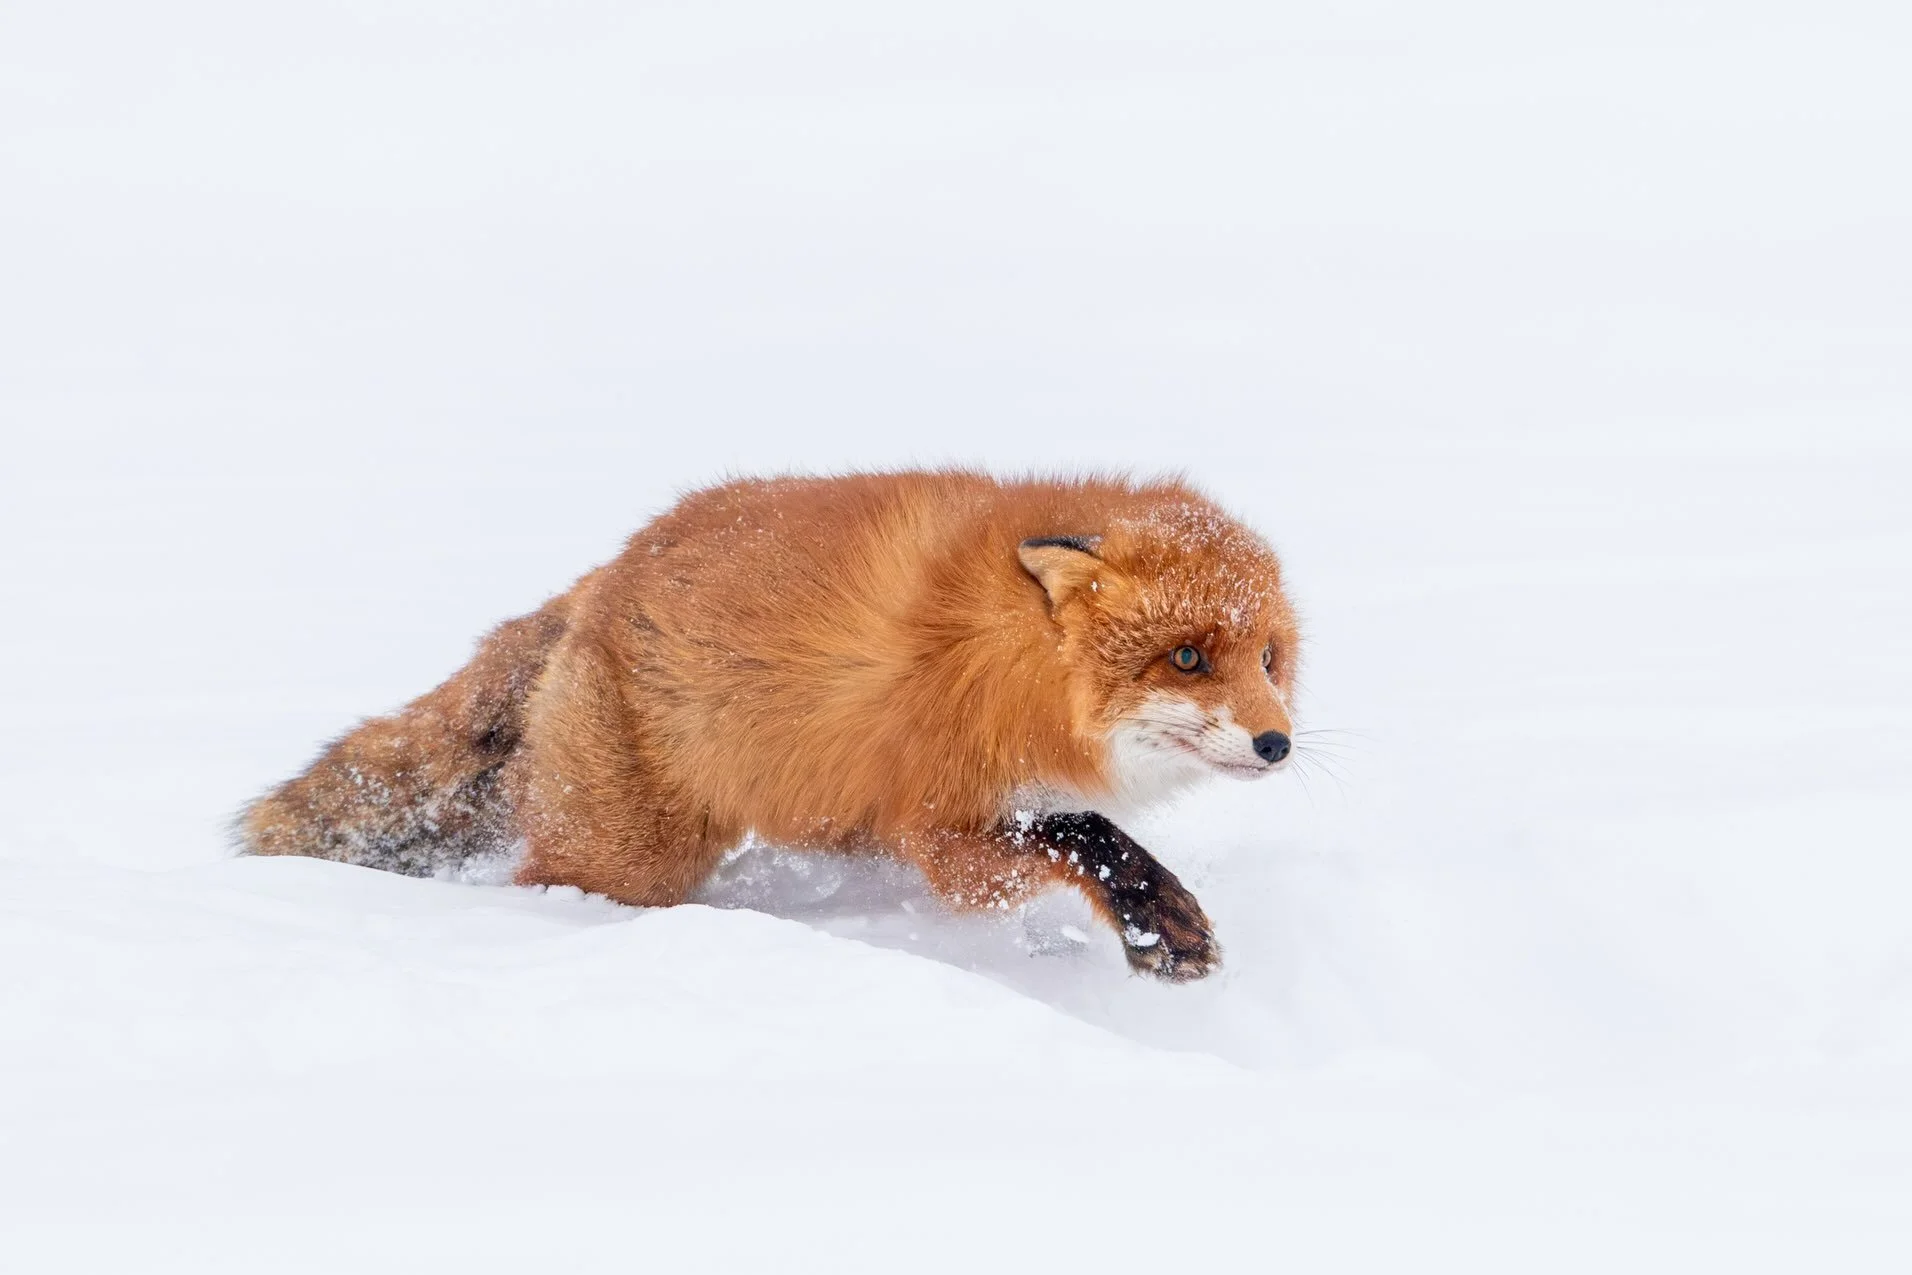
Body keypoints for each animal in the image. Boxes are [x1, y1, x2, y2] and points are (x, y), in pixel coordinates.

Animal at [239, 471, 1301, 981]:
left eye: (1268, 661)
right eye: (1188, 658)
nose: (1278, 743)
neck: (1012, 660)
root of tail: (611, 569)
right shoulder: (948, 825)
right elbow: (1090, 836)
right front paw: (1162, 922)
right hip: (631, 854)